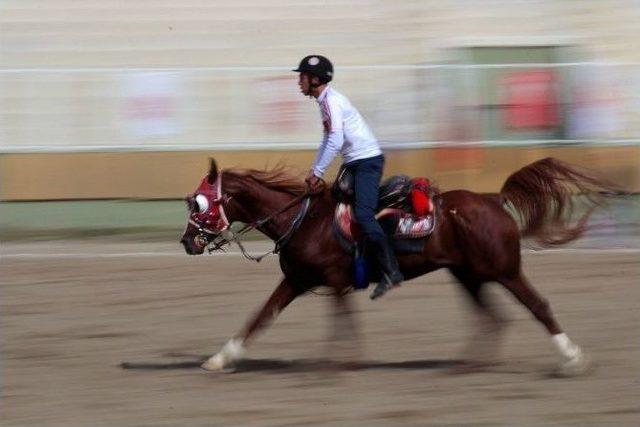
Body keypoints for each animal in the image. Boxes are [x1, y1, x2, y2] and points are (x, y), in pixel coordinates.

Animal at [179, 156, 616, 374]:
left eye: (199, 203)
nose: (186, 242)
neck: (303, 221)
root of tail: (494, 200)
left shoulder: (334, 281)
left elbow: (341, 322)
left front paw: (339, 362)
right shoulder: (297, 281)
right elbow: (260, 317)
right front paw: (220, 358)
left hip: (504, 270)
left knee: (537, 306)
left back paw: (573, 358)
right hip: (468, 275)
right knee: (492, 318)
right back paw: (467, 366)